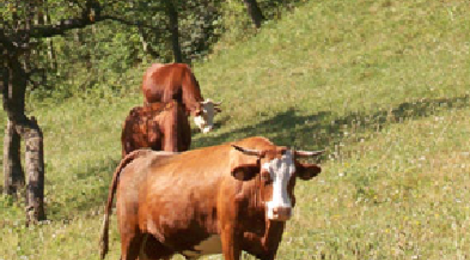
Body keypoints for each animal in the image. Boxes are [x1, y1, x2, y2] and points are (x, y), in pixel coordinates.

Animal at [97, 137, 322, 258]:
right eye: (265, 175)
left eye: (293, 177)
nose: (281, 210)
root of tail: (144, 154)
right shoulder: (230, 237)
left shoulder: (270, 246)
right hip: (131, 236)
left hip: (155, 245)